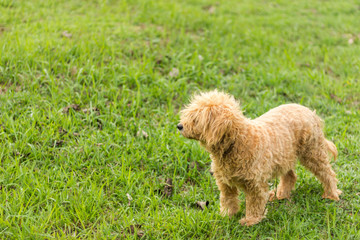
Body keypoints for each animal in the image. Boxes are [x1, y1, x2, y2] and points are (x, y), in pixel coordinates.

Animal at [179, 89, 342, 225]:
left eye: (195, 119)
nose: (179, 126)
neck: (236, 143)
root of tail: (310, 112)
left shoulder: (255, 185)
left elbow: (254, 203)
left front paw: (250, 220)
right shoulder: (225, 183)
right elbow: (228, 200)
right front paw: (227, 216)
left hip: (312, 152)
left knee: (327, 173)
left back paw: (331, 194)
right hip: (284, 155)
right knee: (290, 176)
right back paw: (281, 195)